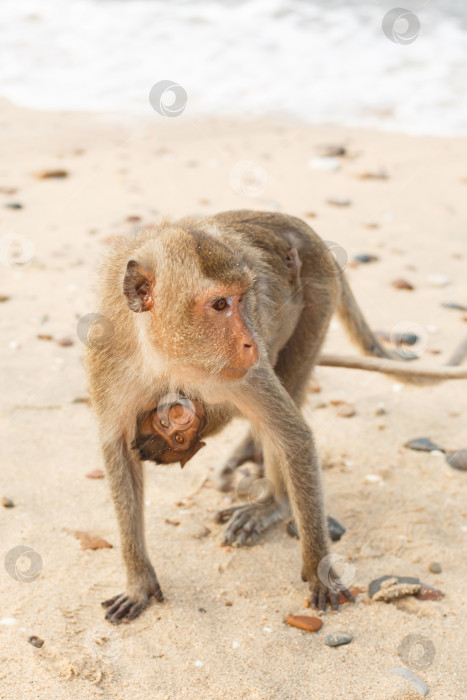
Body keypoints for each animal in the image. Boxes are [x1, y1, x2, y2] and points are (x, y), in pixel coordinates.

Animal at [84, 208, 402, 624]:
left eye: (240, 299)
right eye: (220, 305)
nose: (251, 343)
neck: (162, 353)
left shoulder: (237, 373)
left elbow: (293, 437)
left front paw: (319, 569)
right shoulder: (109, 358)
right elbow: (118, 449)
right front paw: (138, 580)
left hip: (317, 300)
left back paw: (273, 505)